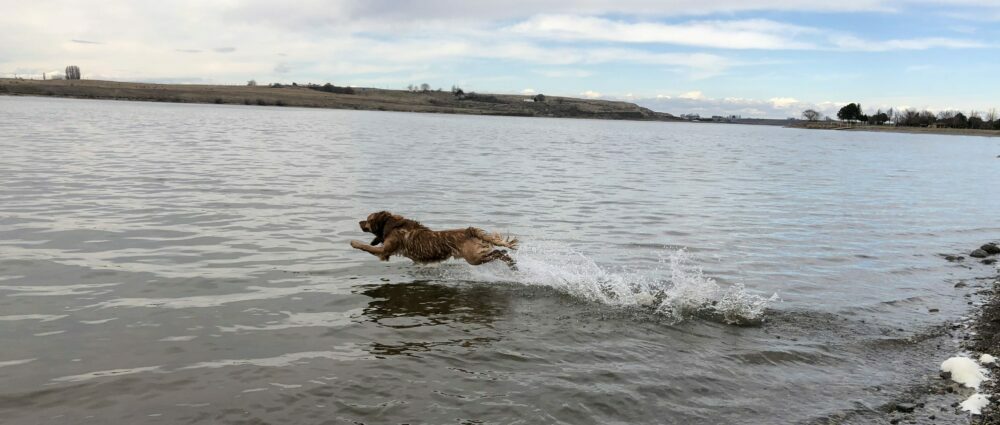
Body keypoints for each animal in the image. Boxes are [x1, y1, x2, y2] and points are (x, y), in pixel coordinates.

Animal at [352, 210, 520, 266]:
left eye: (367, 219)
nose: (359, 222)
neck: (392, 224)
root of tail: (469, 231)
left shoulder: (384, 251)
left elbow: (365, 246)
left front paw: (354, 242)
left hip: (474, 258)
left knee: (498, 253)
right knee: (500, 253)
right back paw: (511, 263)